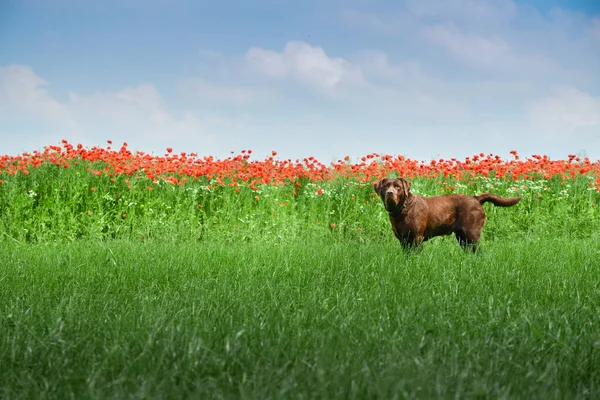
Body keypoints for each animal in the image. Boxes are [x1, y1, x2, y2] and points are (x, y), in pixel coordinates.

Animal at [372, 177, 524, 252]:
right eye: (386, 186)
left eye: (398, 187)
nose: (390, 193)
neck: (402, 210)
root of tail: (476, 198)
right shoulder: (403, 240)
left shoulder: (416, 237)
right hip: (462, 237)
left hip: (472, 234)